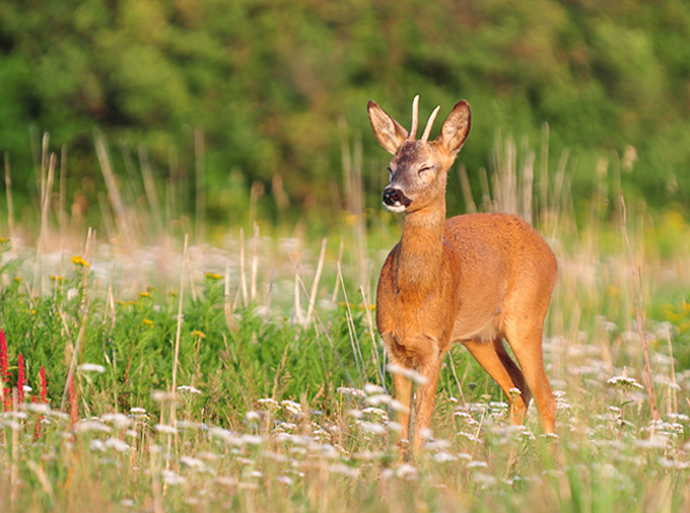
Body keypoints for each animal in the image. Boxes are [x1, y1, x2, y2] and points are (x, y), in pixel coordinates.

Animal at [368, 94, 556, 450]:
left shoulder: (435, 346)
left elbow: (420, 427)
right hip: (480, 337)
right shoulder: (393, 346)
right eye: (390, 166)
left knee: (545, 395)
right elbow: (400, 431)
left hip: (527, 319)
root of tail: (547, 249)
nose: (391, 193)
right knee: (518, 388)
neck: (415, 294)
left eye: (426, 167)